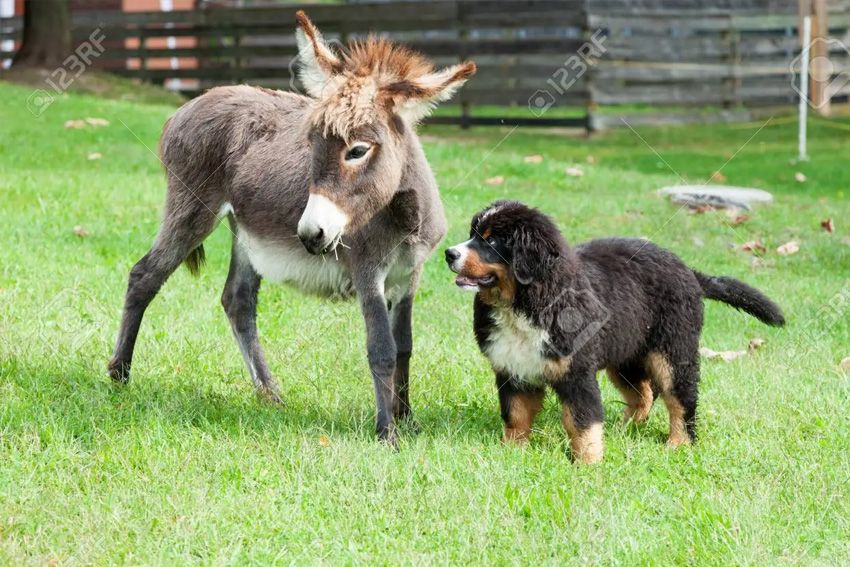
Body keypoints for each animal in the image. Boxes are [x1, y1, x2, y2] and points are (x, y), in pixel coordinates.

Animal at [444, 202, 780, 464]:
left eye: (492, 241)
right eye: (474, 234)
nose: (449, 253)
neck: (524, 304)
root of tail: (688, 271)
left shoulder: (576, 372)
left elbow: (581, 421)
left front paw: (587, 464)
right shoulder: (514, 368)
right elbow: (515, 414)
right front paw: (512, 451)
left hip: (673, 350)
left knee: (680, 399)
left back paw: (678, 444)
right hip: (627, 354)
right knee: (644, 394)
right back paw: (624, 429)